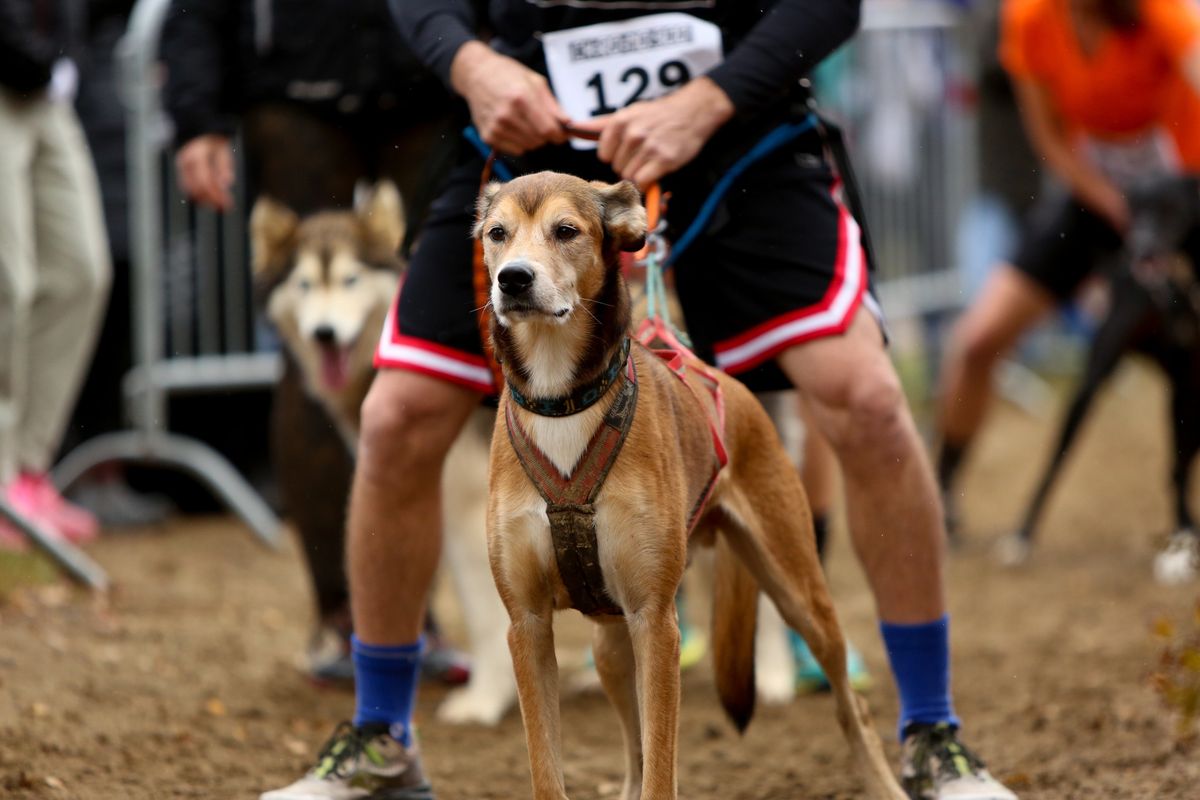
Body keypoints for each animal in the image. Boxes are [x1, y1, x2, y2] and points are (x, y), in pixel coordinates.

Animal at [477, 173, 907, 800]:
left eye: (566, 231)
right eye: (496, 234)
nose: (512, 278)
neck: (564, 400)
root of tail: (727, 383)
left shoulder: (656, 622)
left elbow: (662, 769)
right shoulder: (527, 626)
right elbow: (551, 770)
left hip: (800, 594)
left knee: (854, 709)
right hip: (611, 646)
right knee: (632, 747)